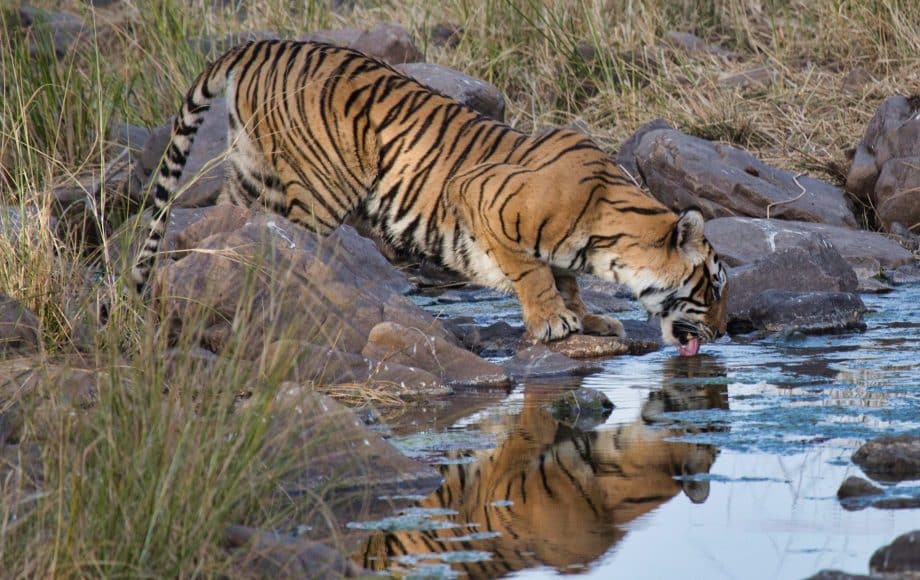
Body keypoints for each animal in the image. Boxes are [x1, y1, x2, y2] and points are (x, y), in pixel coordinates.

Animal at [133, 39, 728, 354]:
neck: (608, 241)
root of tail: (265, 43)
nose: (723, 333)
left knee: (227, 219)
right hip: (319, 190)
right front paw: (553, 322)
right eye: (715, 287)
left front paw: (590, 319)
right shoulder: (483, 195)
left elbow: (564, 277)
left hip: (252, 172)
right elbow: (534, 272)